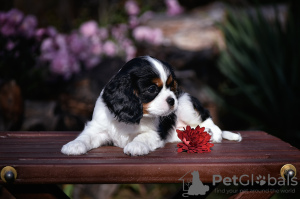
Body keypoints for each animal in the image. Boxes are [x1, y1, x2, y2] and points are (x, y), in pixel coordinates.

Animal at [61, 55, 241, 155]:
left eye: (171, 86)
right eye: (152, 89)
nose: (172, 100)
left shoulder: (155, 133)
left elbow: (143, 136)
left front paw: (136, 146)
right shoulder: (98, 128)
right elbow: (85, 136)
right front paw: (74, 145)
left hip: (186, 103)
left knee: (208, 120)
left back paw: (211, 134)